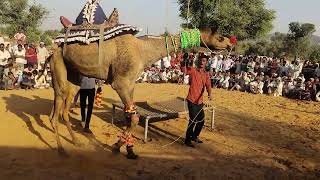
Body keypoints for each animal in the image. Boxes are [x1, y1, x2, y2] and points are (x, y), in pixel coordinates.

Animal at [48, 0, 231, 158]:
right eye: (220, 37)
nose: (230, 43)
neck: (142, 50)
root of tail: (54, 46)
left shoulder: (130, 84)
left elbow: (130, 116)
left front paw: (129, 150)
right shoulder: (120, 83)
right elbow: (135, 118)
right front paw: (116, 147)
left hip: (73, 74)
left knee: (63, 108)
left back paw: (76, 141)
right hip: (58, 64)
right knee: (57, 109)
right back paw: (62, 150)